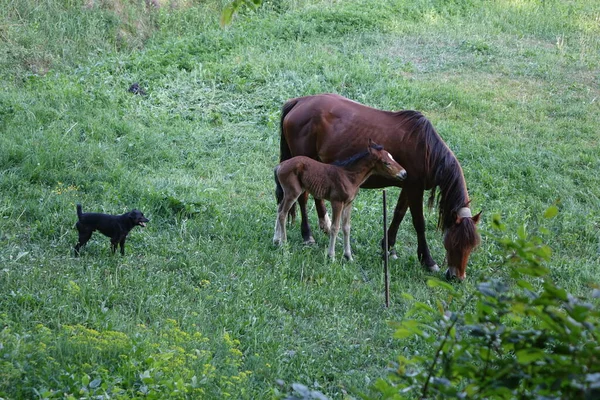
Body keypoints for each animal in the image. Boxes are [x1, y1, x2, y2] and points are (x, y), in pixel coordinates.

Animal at [274, 139, 406, 260]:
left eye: (392, 158)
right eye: (386, 163)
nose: (404, 173)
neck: (349, 176)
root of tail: (280, 166)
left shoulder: (348, 203)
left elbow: (346, 227)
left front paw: (348, 256)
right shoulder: (336, 202)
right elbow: (335, 227)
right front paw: (331, 256)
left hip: (289, 193)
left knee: (279, 210)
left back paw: (276, 240)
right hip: (293, 192)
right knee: (283, 214)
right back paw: (284, 244)